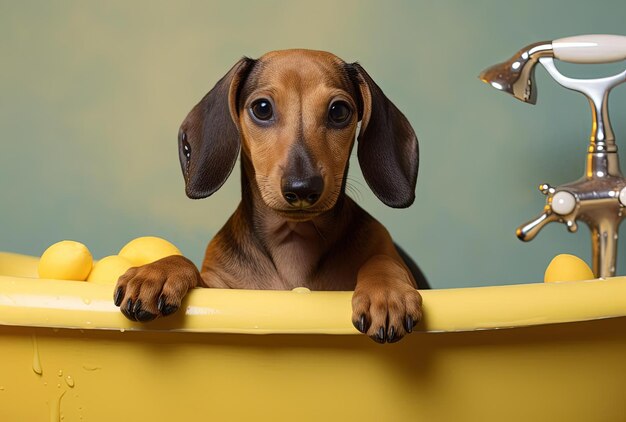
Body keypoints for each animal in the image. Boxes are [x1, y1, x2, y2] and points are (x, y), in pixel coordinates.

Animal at [114, 48, 426, 342]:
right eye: (262, 108)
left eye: (339, 112)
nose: (302, 188)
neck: (294, 240)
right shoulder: (221, 288)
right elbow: (185, 262)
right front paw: (157, 273)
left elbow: (381, 260)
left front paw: (387, 292)